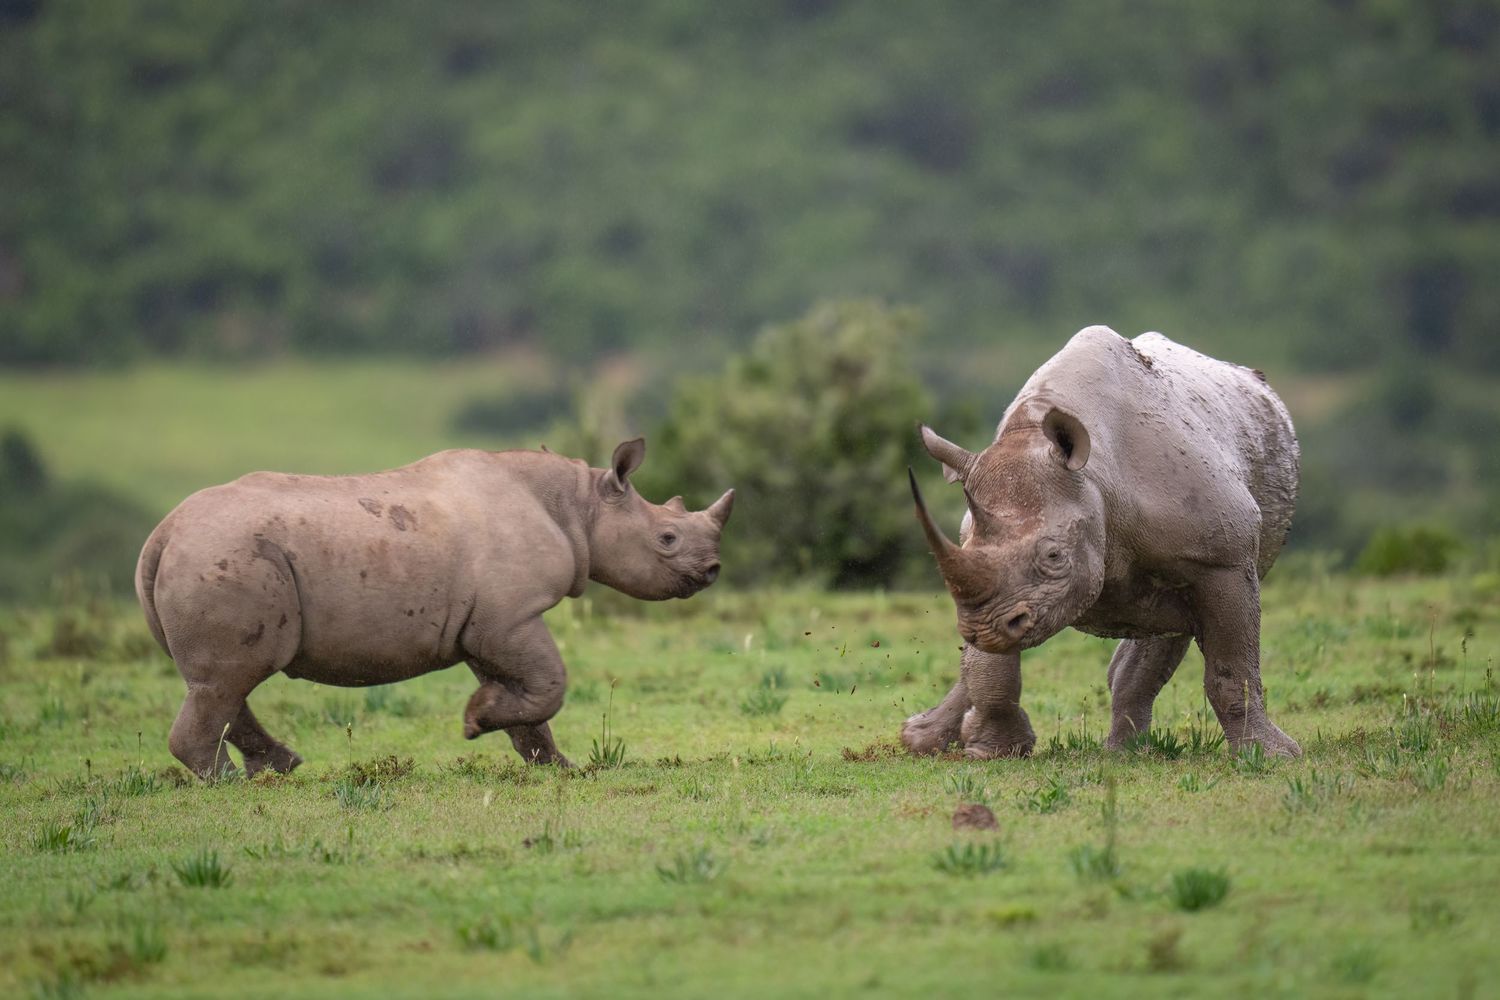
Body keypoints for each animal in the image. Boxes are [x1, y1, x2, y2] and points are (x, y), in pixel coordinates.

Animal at [135, 439, 733, 778]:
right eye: (667, 538)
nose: (712, 571)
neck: (581, 506)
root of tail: (162, 533)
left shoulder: (486, 623)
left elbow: (531, 701)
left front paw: (559, 767)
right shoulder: (510, 616)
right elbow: (551, 683)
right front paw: (476, 721)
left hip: (209, 556)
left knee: (221, 682)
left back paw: (279, 768)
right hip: (224, 558)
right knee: (230, 678)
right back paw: (230, 782)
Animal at [903, 326, 1300, 759]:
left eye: (1054, 556)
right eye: (961, 550)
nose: (979, 628)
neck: (1096, 479)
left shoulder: (1224, 559)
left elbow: (1231, 666)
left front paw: (1271, 756)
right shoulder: (993, 580)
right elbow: (989, 666)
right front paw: (993, 752)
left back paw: (1126, 752)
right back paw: (924, 739)